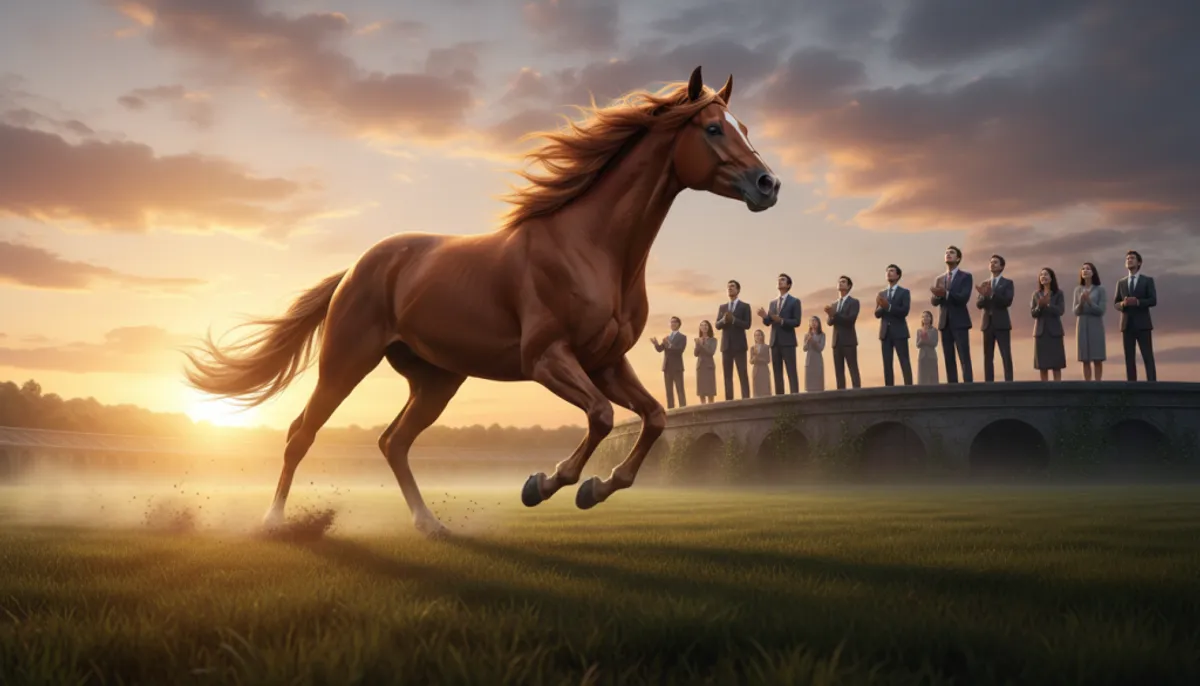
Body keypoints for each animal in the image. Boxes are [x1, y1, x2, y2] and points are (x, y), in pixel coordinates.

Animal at [181, 65, 781, 538]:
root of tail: (355, 268)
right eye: (712, 128)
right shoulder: (547, 359)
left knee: (393, 442)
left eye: (745, 128)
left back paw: (430, 525)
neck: (592, 248)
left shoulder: (605, 362)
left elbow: (653, 417)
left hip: (436, 379)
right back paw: (273, 523)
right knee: (301, 433)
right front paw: (544, 484)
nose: (768, 184)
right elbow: (602, 416)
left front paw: (594, 488)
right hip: (346, 361)